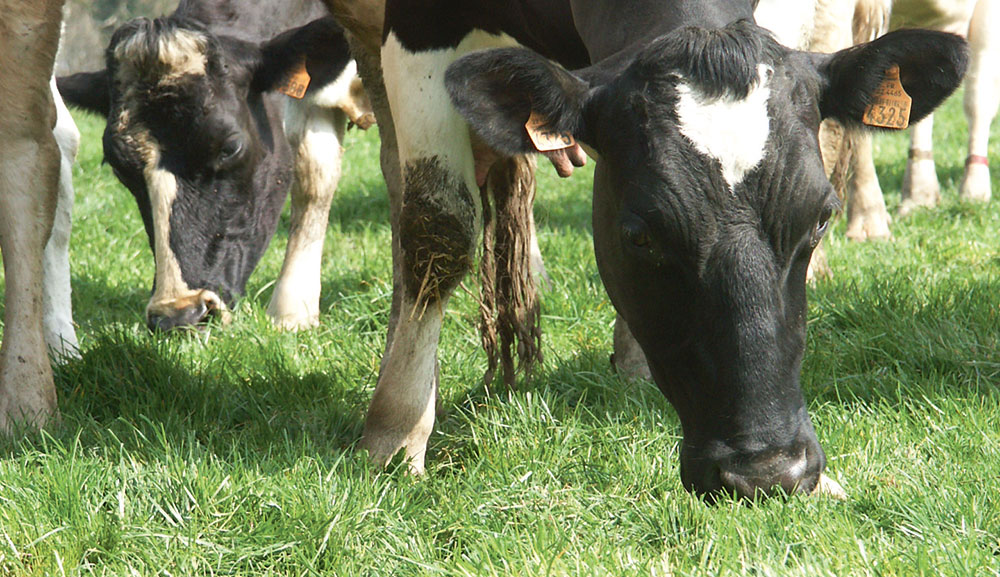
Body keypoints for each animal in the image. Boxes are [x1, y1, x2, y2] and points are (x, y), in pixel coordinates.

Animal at [318, 0, 960, 500]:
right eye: (640, 235)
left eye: (821, 218)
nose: (767, 473)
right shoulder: (419, 26)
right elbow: (437, 225)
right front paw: (396, 433)